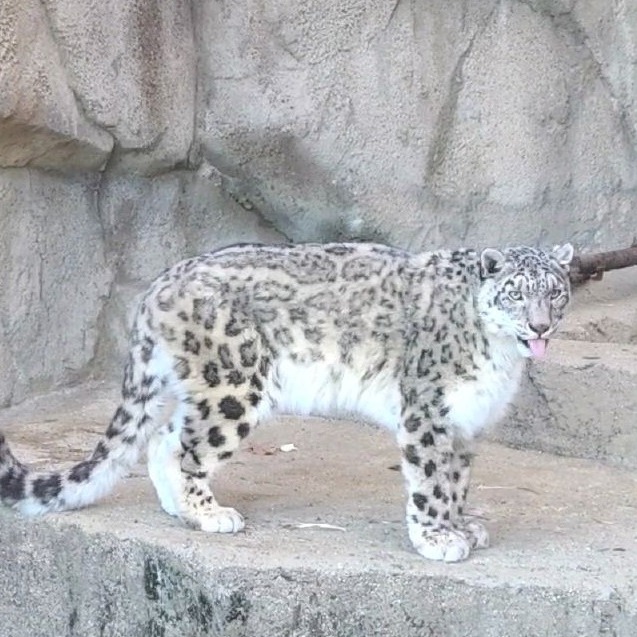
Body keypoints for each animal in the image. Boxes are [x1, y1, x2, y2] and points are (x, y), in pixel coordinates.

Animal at [0, 240, 572, 560]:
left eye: (556, 291)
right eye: (516, 293)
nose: (541, 325)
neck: (502, 357)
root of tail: (162, 282)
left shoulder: (465, 422)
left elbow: (455, 480)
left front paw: (461, 525)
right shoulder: (429, 409)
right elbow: (431, 480)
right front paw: (437, 539)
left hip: (193, 384)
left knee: (162, 437)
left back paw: (178, 507)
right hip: (234, 385)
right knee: (187, 448)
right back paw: (207, 513)